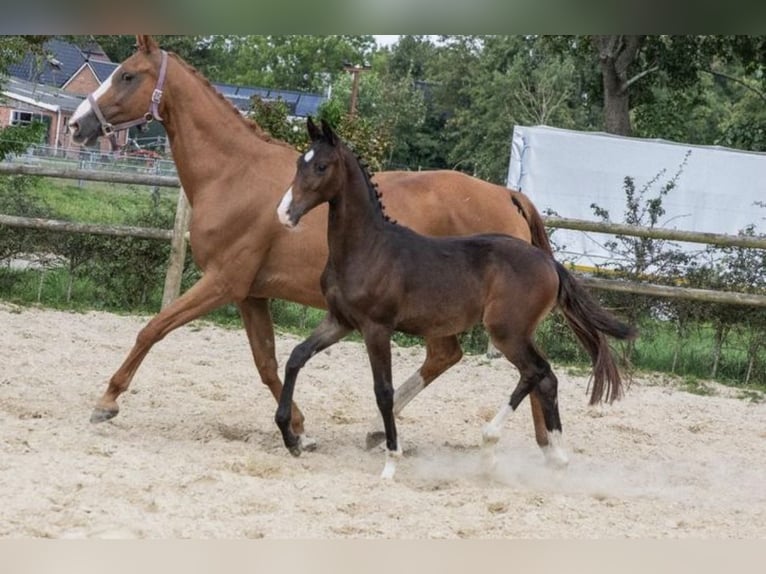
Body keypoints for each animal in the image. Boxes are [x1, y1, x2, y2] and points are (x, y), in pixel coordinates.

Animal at [69, 35, 556, 450]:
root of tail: (508, 195)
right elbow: (267, 362)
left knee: (515, 368)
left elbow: (153, 328)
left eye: (128, 76)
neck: (233, 173)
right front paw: (299, 429)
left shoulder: (223, 282)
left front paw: (106, 402)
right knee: (465, 359)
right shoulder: (250, 294)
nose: (77, 125)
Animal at [276, 121, 636, 482]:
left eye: (322, 166)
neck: (368, 248)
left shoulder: (376, 328)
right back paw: (557, 456)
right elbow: (296, 357)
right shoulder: (340, 321)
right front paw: (290, 437)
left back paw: (491, 446)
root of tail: (551, 265)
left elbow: (384, 391)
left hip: (505, 332)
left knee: (536, 372)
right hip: (517, 333)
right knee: (546, 378)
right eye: (298, 163)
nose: (284, 213)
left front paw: (391, 462)